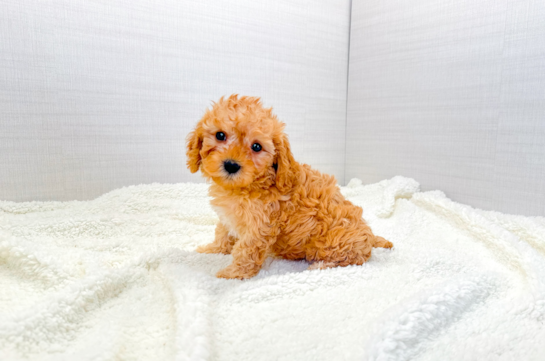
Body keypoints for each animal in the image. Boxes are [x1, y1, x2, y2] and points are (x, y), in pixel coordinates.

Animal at [187, 93, 392, 278]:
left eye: (256, 147)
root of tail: (369, 236)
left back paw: (319, 266)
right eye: (220, 135)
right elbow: (223, 232)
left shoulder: (260, 226)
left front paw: (231, 274)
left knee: (350, 258)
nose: (231, 165)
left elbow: (246, 251)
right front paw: (213, 249)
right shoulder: (229, 216)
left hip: (339, 238)